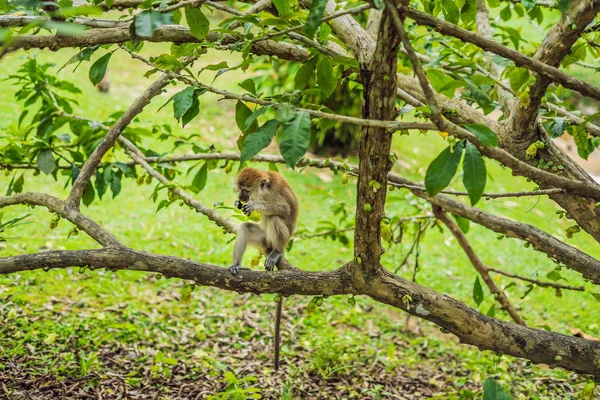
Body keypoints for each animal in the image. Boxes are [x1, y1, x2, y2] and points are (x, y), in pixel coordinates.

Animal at [227, 166, 298, 368]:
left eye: (246, 190)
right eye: (240, 189)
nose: (241, 197)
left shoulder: (271, 193)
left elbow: (283, 209)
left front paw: (256, 205)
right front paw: (238, 203)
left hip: (279, 239)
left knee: (274, 218)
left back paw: (277, 252)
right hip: (263, 240)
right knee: (246, 228)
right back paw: (237, 266)